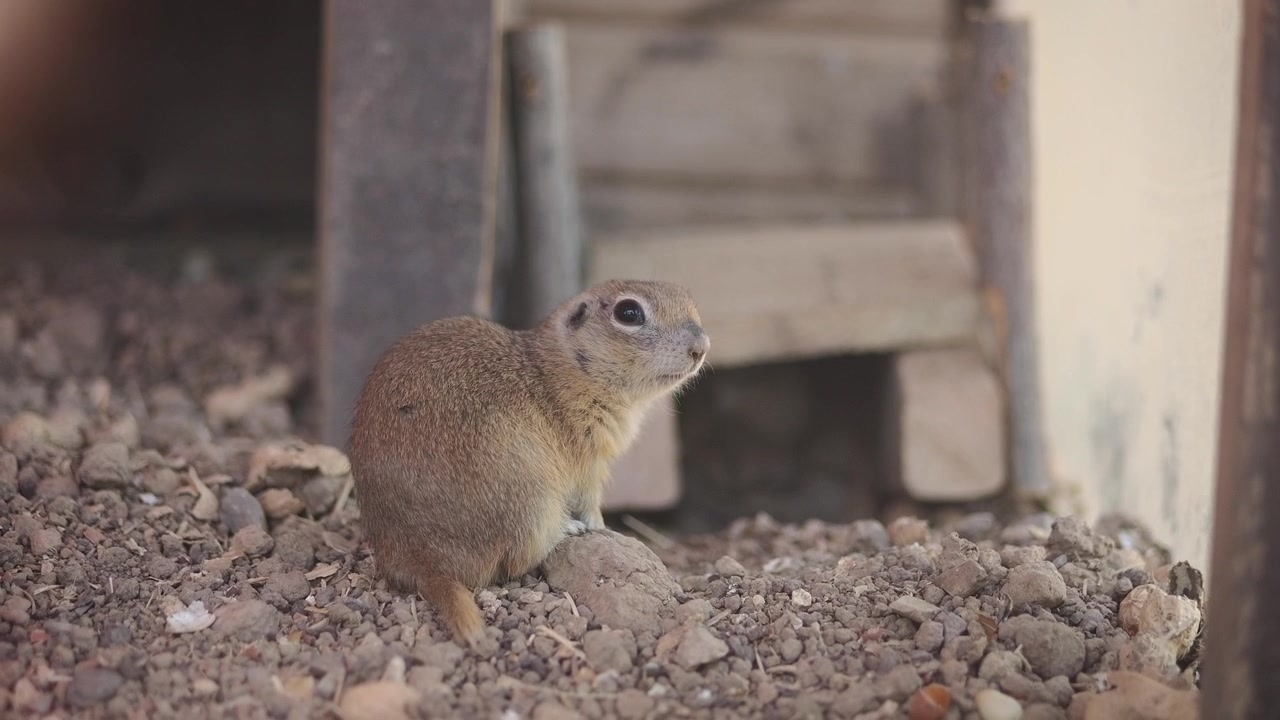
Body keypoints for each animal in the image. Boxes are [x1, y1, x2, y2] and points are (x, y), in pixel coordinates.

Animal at [348, 279, 709, 645]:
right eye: (629, 312)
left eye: (687, 298)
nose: (702, 346)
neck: (558, 368)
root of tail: (421, 563)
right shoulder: (588, 459)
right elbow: (590, 500)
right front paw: (598, 526)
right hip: (533, 494)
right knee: (519, 559)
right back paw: (567, 529)